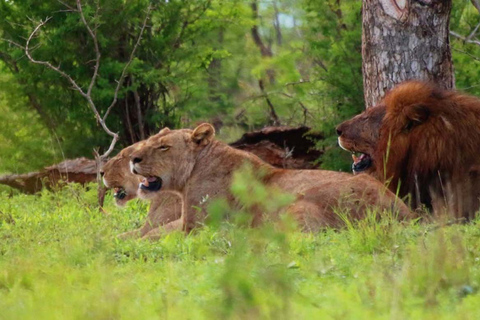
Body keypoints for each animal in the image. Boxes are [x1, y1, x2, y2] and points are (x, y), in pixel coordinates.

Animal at [128, 123, 412, 232]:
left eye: (163, 147)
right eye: (151, 140)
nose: (133, 158)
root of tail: (399, 211)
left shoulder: (198, 228)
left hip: (298, 205)